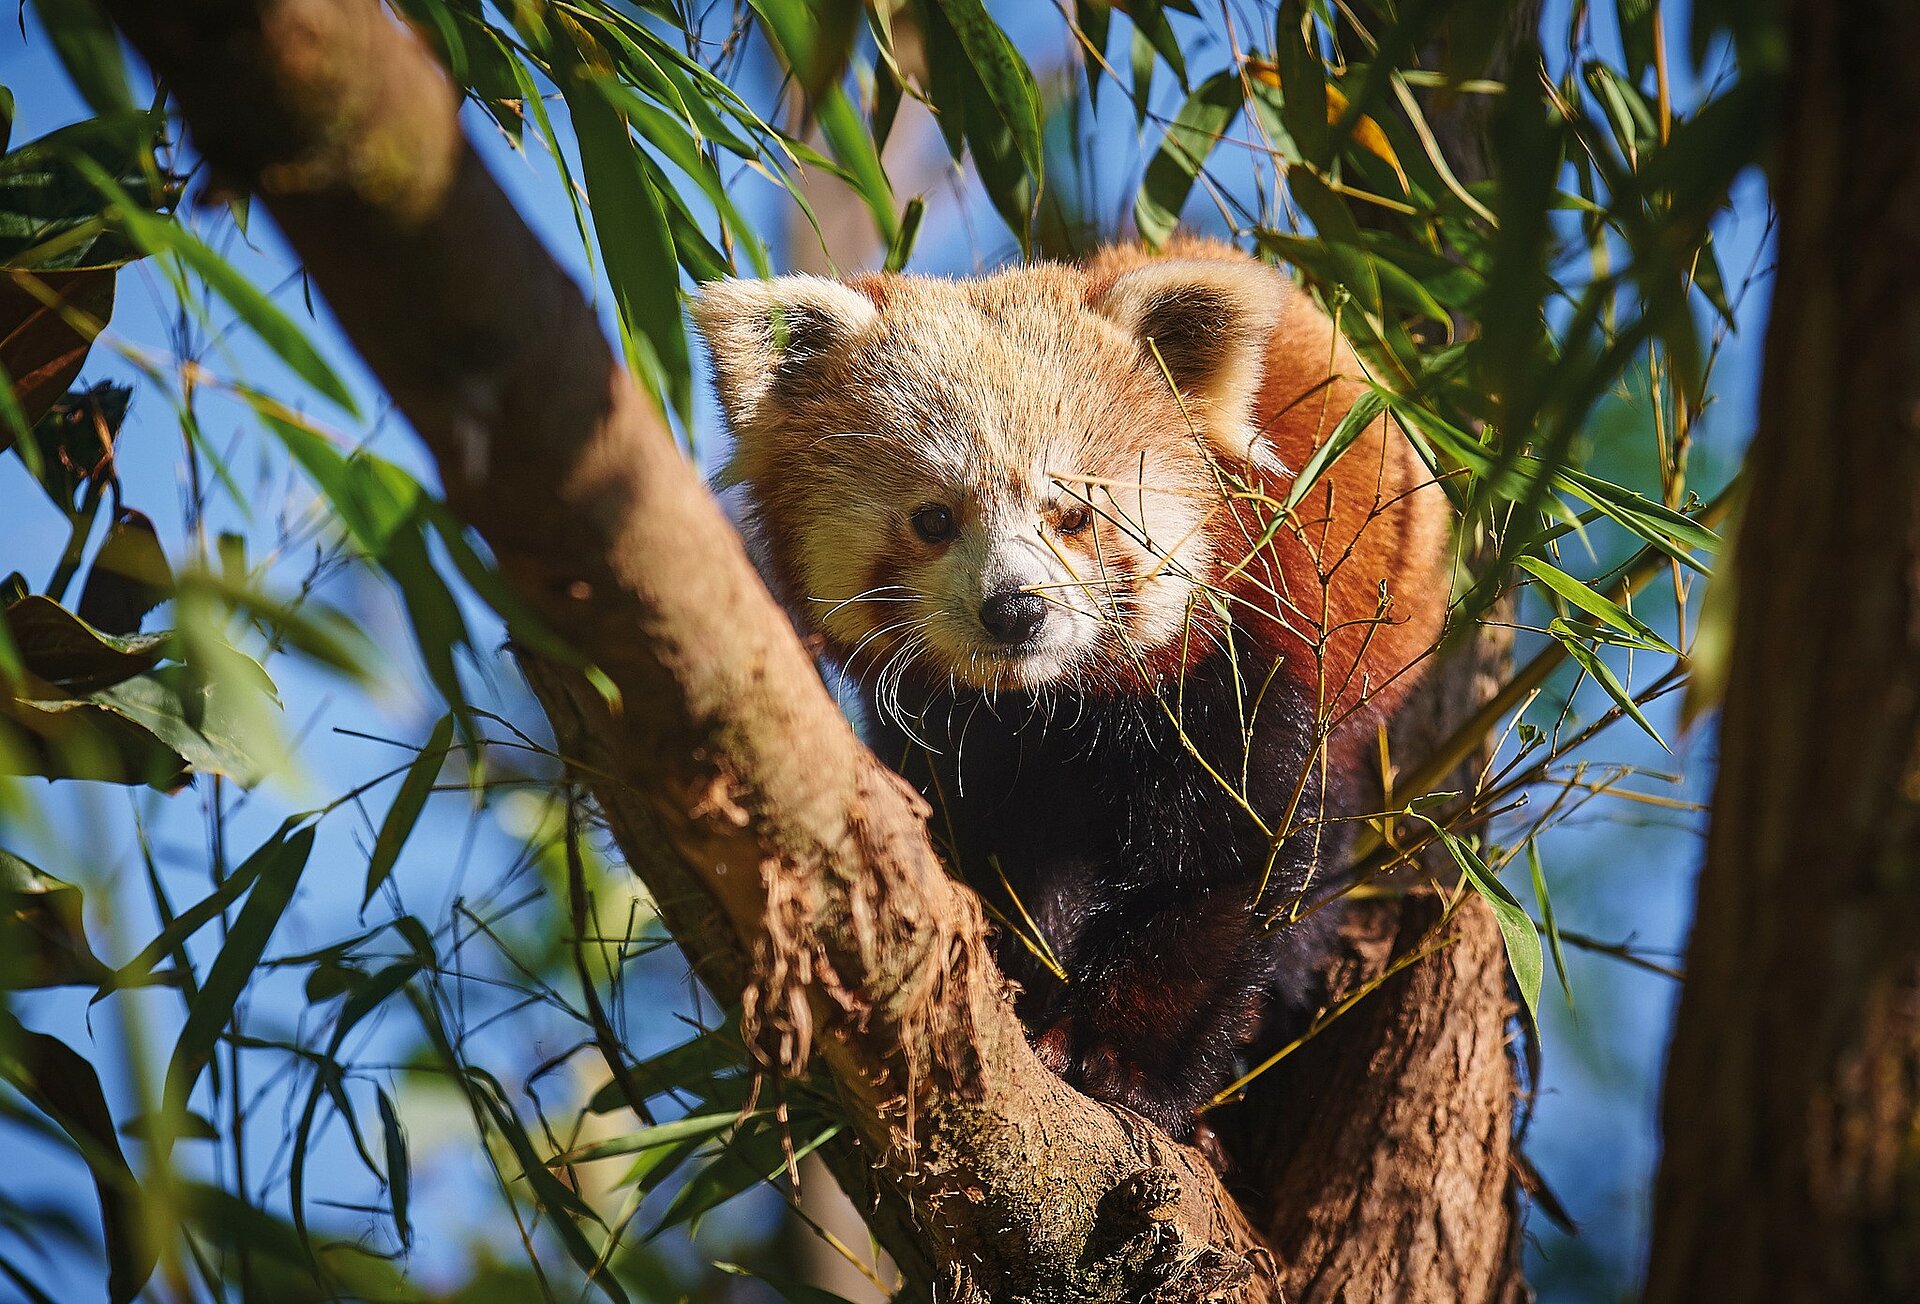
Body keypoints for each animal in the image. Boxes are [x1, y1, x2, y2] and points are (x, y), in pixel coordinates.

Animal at [698, 234, 1443, 1144]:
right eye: (934, 520)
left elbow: (1227, 870)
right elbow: (997, 858)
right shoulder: (958, 739)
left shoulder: (1248, 666)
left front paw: (1122, 1060)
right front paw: (1020, 996)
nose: (1016, 609)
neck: (1055, 704)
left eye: (1074, 514)